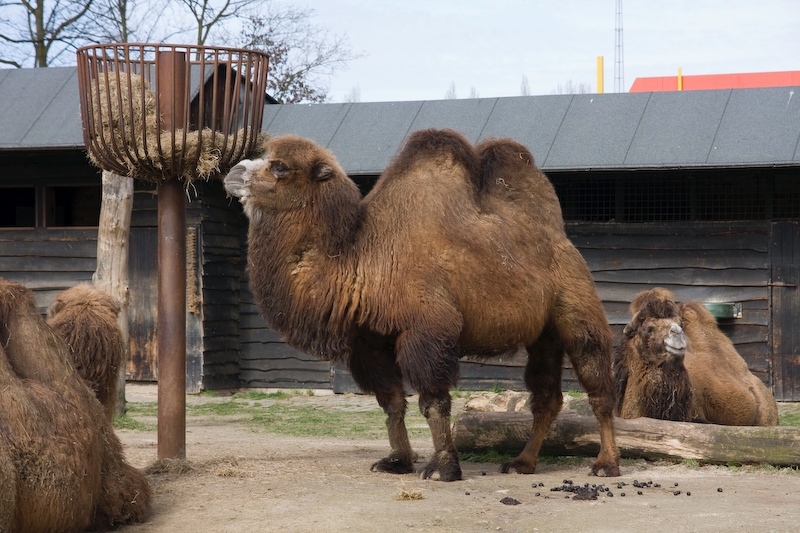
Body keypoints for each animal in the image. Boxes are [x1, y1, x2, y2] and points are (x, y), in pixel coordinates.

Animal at [224, 129, 621, 481]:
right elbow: (390, 401)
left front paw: (443, 468)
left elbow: (433, 401)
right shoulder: (370, 341)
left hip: (576, 304)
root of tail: (561, 237)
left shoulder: (428, 330)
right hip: (542, 334)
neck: (360, 259)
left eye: (280, 167)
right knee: (546, 396)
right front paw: (397, 461)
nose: (233, 173)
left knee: (597, 383)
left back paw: (606, 464)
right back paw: (522, 463)